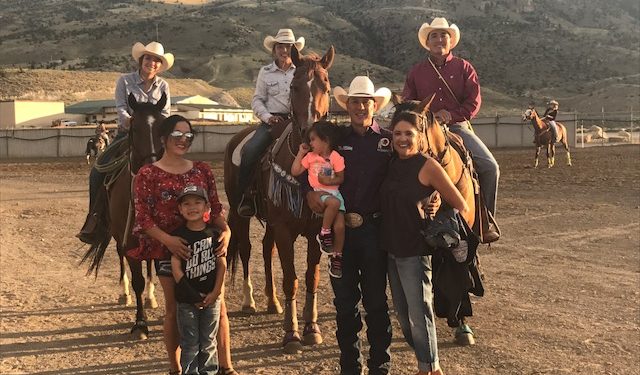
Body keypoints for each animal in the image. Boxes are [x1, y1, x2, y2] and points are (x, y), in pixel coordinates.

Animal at [81, 94, 166, 340]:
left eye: (163, 127)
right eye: (134, 128)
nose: (151, 168)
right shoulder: (129, 243)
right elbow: (137, 279)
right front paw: (140, 324)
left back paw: (151, 296)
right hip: (118, 235)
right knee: (120, 256)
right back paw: (125, 293)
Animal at [224, 45, 336, 354]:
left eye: (326, 86)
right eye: (294, 86)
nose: (311, 134)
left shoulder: (314, 231)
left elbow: (310, 277)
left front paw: (311, 328)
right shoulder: (286, 231)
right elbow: (291, 280)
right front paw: (291, 334)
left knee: (265, 249)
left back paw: (272, 302)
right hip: (239, 213)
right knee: (247, 250)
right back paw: (249, 301)